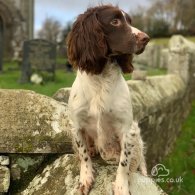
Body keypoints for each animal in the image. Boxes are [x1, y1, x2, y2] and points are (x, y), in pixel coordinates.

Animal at [66, 4, 149, 195]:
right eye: (115, 21)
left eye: (130, 21)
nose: (146, 38)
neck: (101, 79)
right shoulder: (77, 126)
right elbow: (83, 155)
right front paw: (86, 178)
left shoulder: (127, 129)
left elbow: (124, 163)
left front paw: (121, 186)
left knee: (139, 159)